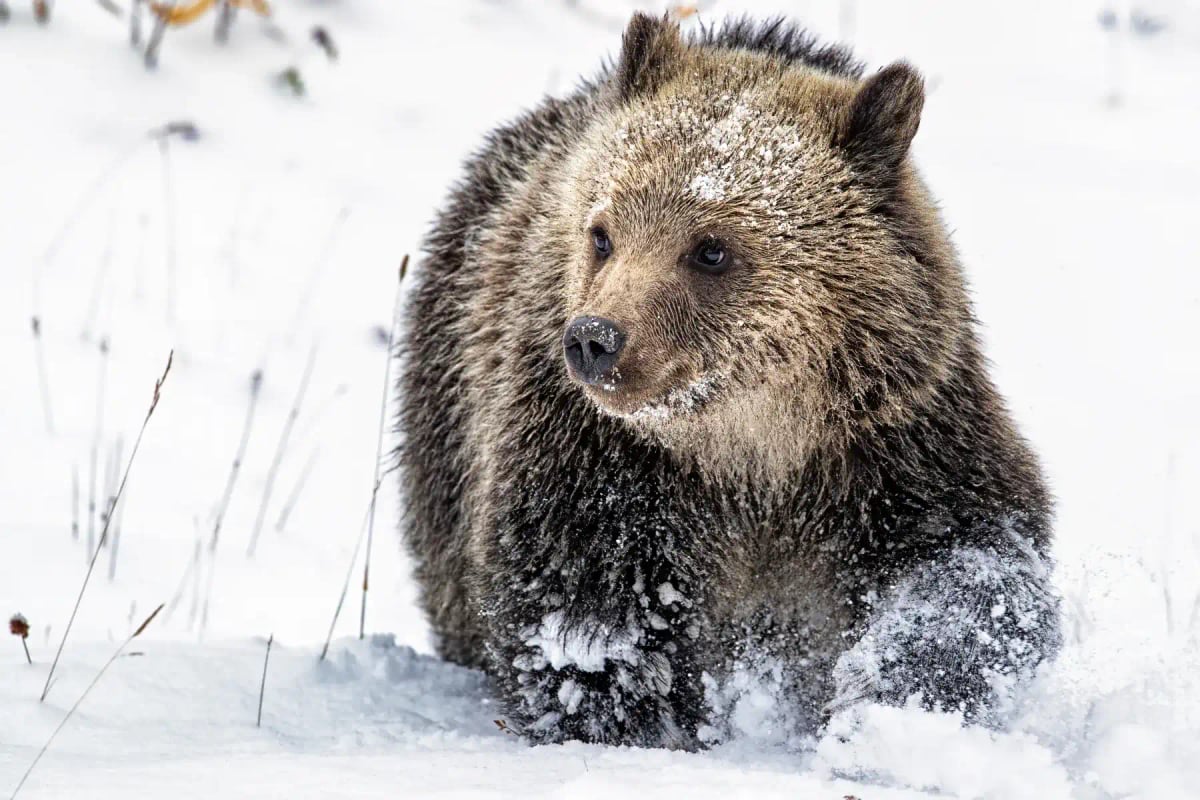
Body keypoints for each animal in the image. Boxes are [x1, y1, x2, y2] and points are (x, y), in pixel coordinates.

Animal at [398, 14, 1060, 749]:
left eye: (711, 249)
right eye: (603, 233)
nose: (596, 339)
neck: (750, 454)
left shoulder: (895, 443)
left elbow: (962, 566)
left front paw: (893, 714)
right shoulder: (598, 462)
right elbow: (583, 610)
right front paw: (631, 721)